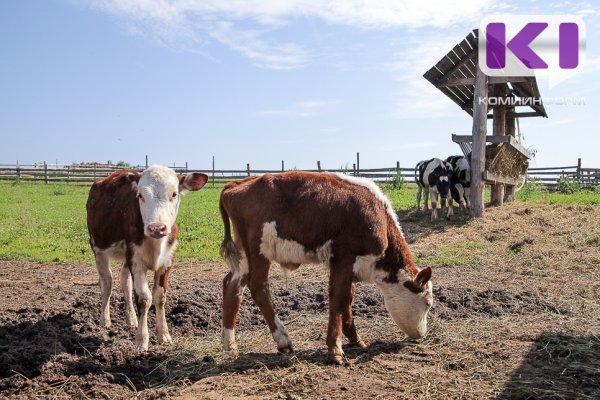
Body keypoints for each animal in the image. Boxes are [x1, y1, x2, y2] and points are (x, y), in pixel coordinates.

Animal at [85, 164, 209, 348]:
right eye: (140, 195)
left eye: (174, 193)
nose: (157, 228)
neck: (155, 244)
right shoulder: (136, 261)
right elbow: (144, 299)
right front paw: (141, 339)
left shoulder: (167, 261)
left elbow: (159, 296)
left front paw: (164, 335)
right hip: (98, 248)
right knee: (107, 283)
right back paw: (104, 320)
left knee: (125, 282)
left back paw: (131, 319)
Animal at [218, 170, 434, 364]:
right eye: (428, 303)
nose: (422, 334)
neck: (378, 215)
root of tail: (237, 185)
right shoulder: (343, 259)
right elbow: (337, 300)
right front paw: (335, 349)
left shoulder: (349, 268)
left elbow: (347, 299)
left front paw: (355, 339)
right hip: (259, 251)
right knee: (258, 287)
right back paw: (283, 340)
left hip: (244, 255)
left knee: (232, 285)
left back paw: (230, 344)